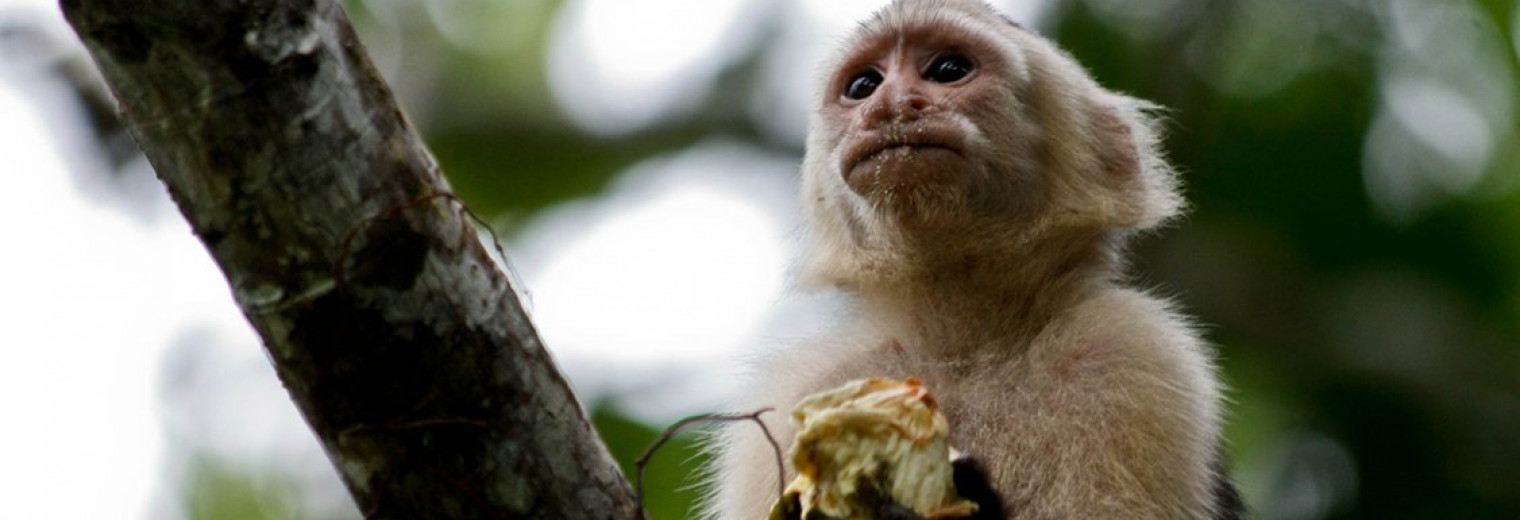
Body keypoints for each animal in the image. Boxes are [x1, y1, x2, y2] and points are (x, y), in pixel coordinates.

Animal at [705, 1, 1240, 520]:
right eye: (863, 86)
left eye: (949, 69)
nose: (890, 105)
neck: (963, 346)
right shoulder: (797, 394)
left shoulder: (1134, 352)